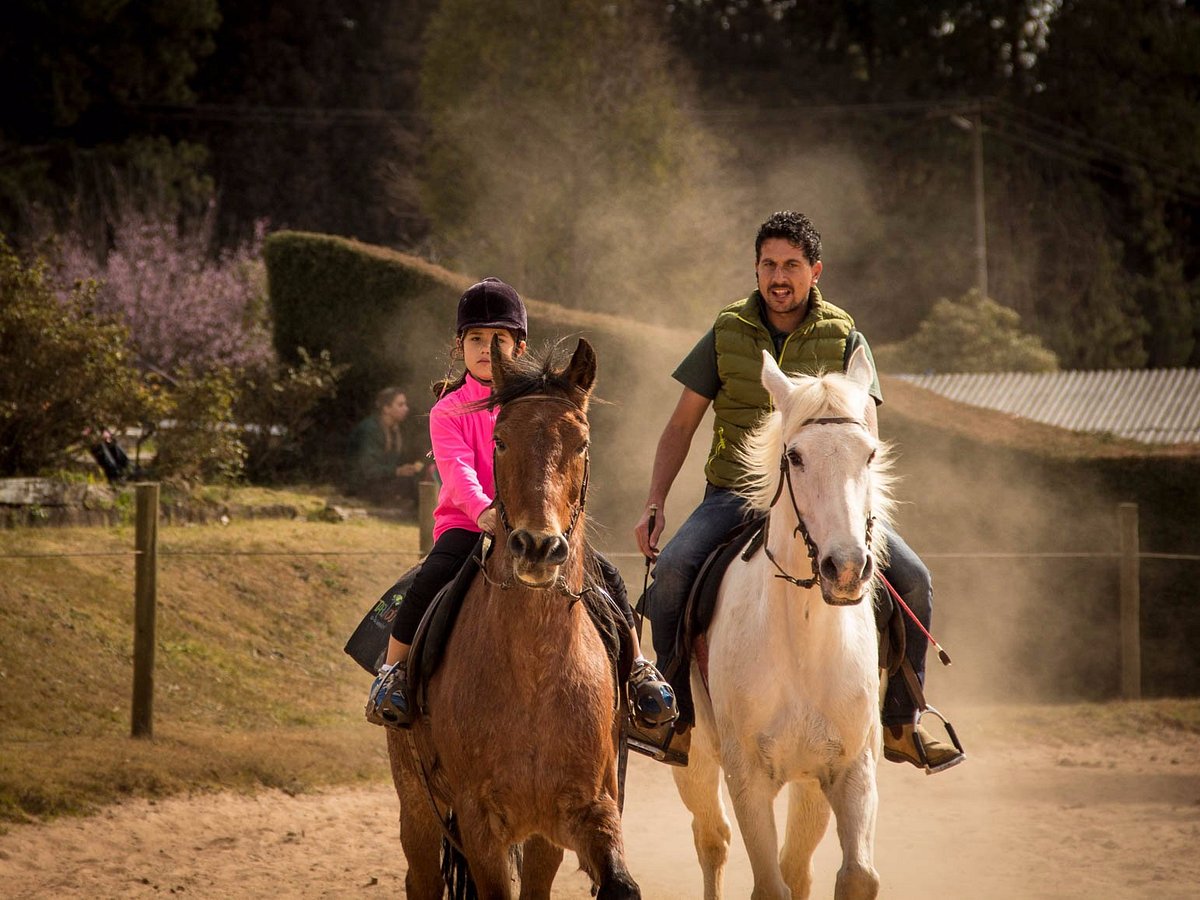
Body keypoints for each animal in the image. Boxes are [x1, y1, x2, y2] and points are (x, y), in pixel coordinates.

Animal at [388, 340, 643, 900]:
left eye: (582, 444)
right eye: (500, 441)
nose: (539, 547)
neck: (535, 669)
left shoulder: (589, 809)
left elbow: (620, 884)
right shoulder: (480, 824)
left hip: (541, 835)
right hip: (417, 806)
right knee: (421, 878)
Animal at [676, 348, 892, 900]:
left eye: (870, 454)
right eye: (795, 457)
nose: (845, 568)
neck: (803, 643)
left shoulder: (849, 771)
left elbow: (856, 876)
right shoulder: (747, 778)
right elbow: (769, 884)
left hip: (809, 785)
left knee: (795, 865)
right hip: (695, 762)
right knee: (712, 840)